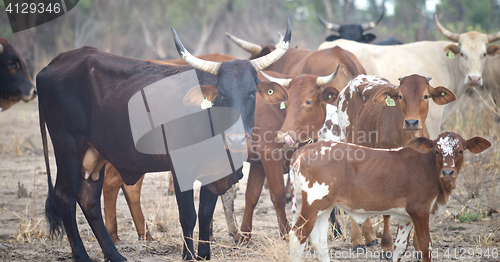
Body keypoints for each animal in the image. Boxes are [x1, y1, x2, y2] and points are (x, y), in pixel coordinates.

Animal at [39, 22, 292, 260]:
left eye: (251, 93)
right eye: (221, 94)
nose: (237, 138)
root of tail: (59, 60)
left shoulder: (214, 174)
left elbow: (205, 215)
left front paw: (204, 255)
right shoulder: (181, 172)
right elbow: (188, 216)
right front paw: (188, 255)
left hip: (93, 155)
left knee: (88, 199)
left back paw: (115, 255)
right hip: (68, 147)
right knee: (65, 197)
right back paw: (83, 255)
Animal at [288, 132, 490, 260]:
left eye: (461, 151)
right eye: (437, 151)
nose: (448, 172)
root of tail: (306, 148)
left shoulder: (406, 217)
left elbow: (400, 248)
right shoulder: (419, 210)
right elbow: (425, 245)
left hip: (323, 207)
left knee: (319, 242)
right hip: (312, 205)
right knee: (297, 237)